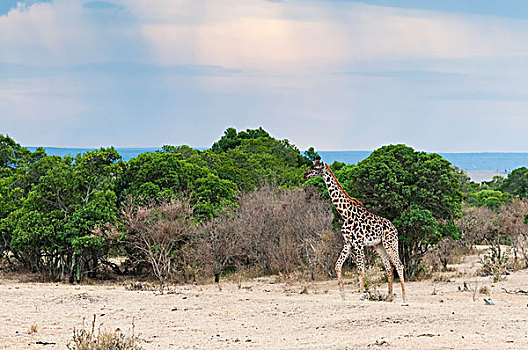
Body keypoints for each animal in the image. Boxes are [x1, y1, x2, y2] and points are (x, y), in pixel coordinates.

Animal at [304, 157, 406, 302]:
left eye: (316, 168)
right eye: (311, 166)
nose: (305, 175)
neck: (345, 213)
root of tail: (395, 229)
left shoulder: (358, 243)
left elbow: (361, 269)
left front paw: (362, 294)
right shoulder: (348, 243)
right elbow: (337, 265)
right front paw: (342, 295)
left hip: (390, 243)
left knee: (398, 265)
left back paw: (404, 298)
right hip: (379, 245)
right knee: (389, 267)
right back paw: (389, 297)